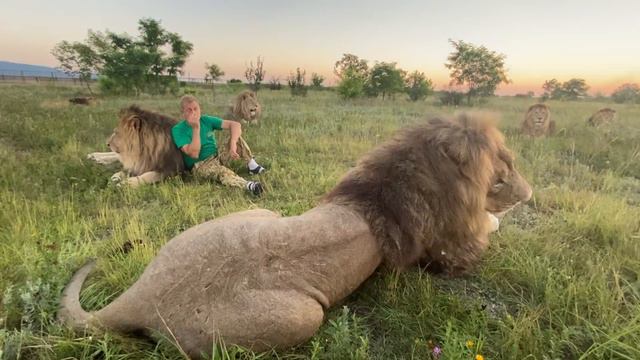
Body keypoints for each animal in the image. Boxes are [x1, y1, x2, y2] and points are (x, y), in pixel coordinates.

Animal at [60, 112, 532, 358]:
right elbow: (481, 232)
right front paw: (499, 219)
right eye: (502, 176)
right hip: (305, 317)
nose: (530, 194)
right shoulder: (443, 253)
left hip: (259, 213)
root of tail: (141, 297)